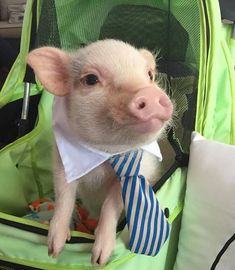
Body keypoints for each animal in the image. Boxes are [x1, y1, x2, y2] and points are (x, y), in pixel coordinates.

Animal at [27, 39, 173, 266]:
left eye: (149, 75)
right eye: (91, 79)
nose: (149, 93)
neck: (106, 153)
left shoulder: (134, 173)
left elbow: (112, 203)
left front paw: (99, 260)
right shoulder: (62, 163)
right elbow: (64, 195)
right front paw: (54, 250)